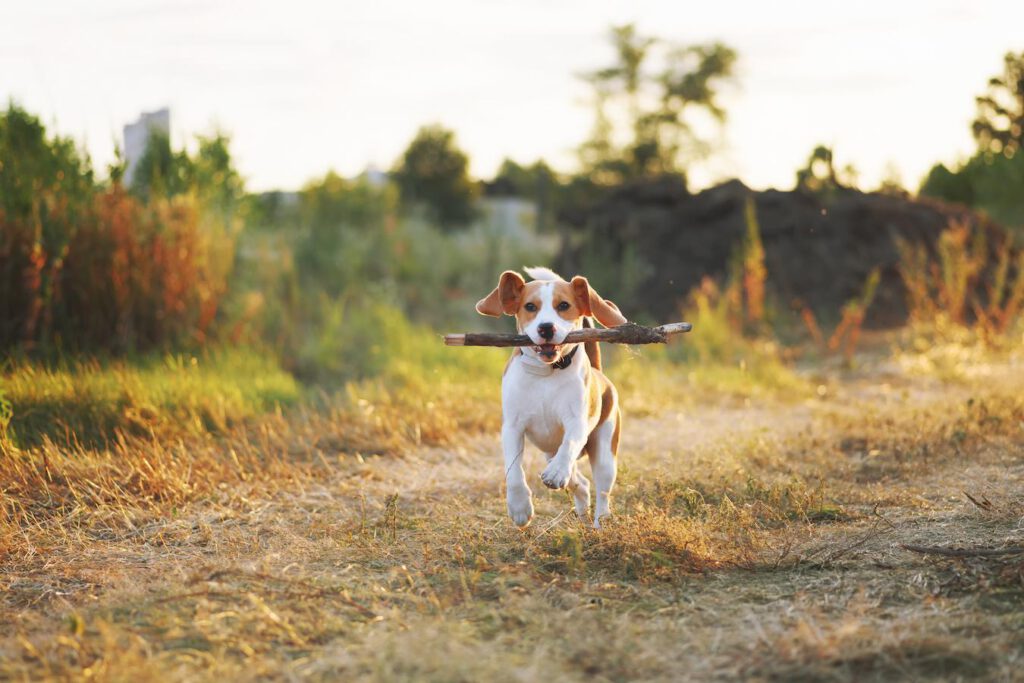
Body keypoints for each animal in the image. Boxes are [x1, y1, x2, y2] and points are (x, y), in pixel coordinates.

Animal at [475, 266, 626, 528]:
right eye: (530, 306)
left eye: (563, 305)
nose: (546, 327)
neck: (547, 373)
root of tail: (600, 374)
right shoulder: (512, 427)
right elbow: (513, 469)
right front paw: (519, 507)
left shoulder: (577, 422)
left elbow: (570, 443)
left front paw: (556, 474)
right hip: (550, 453)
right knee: (581, 483)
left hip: (605, 451)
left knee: (602, 490)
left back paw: (600, 523)